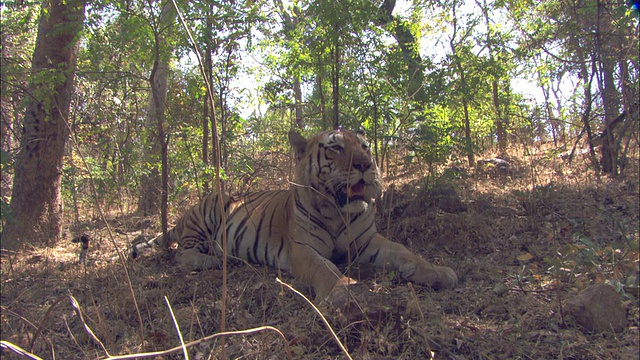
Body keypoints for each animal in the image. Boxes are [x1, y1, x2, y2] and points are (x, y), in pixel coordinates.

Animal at [132, 131, 458, 300]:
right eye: (335, 148)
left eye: (365, 147)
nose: (366, 164)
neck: (338, 212)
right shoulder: (303, 249)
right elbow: (326, 269)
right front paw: (344, 291)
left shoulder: (368, 242)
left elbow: (406, 252)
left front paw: (439, 272)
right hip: (212, 205)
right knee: (182, 254)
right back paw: (214, 260)